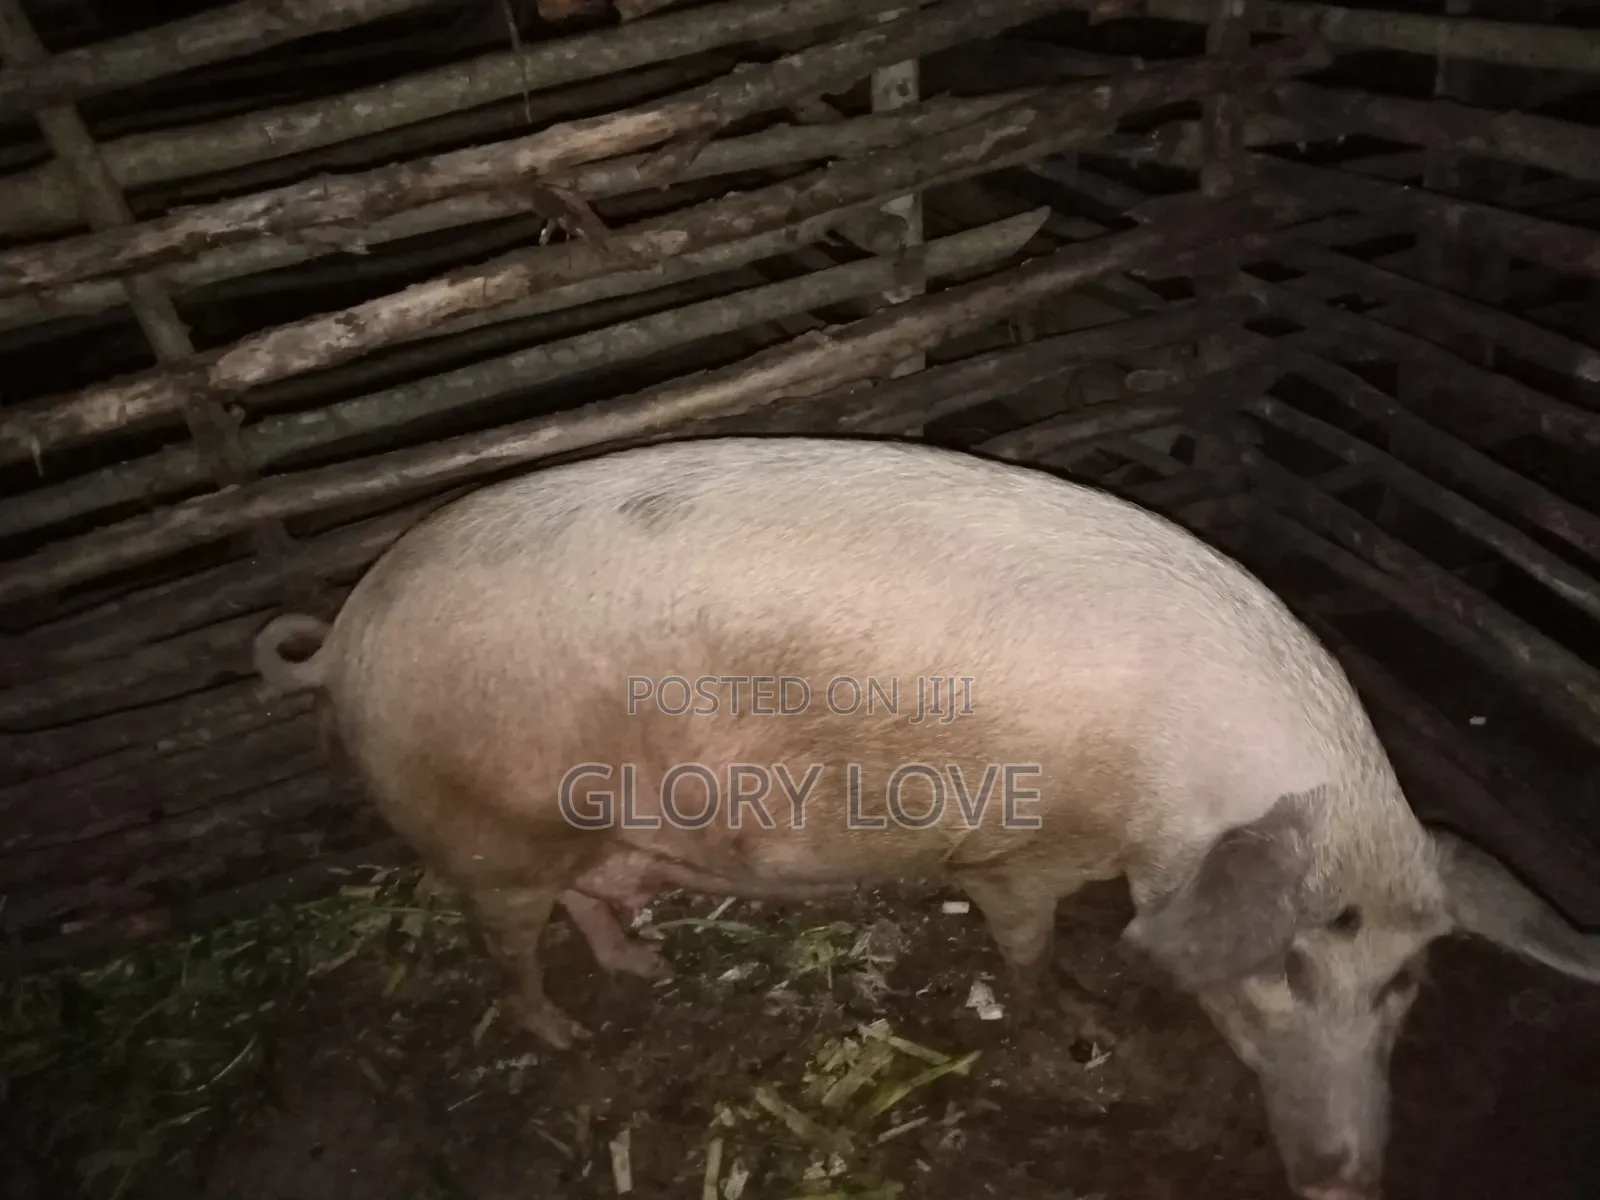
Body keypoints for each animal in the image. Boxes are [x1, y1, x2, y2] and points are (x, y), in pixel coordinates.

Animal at [253, 435, 1600, 1200]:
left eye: (1404, 985)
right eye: (1281, 973)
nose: (1346, 1183)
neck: (1172, 795)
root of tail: (345, 638)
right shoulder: (1020, 848)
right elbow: (1025, 936)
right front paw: (1072, 1007)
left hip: (580, 828)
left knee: (595, 892)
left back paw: (638, 964)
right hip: (493, 830)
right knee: (508, 940)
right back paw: (568, 1031)